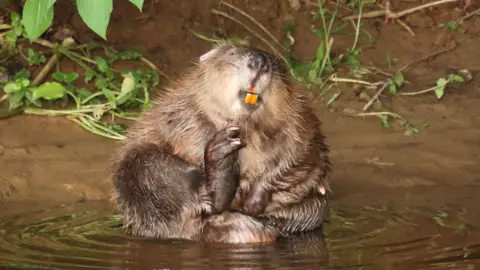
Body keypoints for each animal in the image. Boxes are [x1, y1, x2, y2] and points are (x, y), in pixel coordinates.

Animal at [110, 43, 332, 244]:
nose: (259, 62)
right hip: (140, 168)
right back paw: (220, 162)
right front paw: (227, 144)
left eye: (276, 65)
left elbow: (300, 156)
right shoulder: (181, 111)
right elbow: (186, 138)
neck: (248, 126)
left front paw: (253, 201)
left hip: (316, 208)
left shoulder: (302, 121)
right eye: (232, 52)